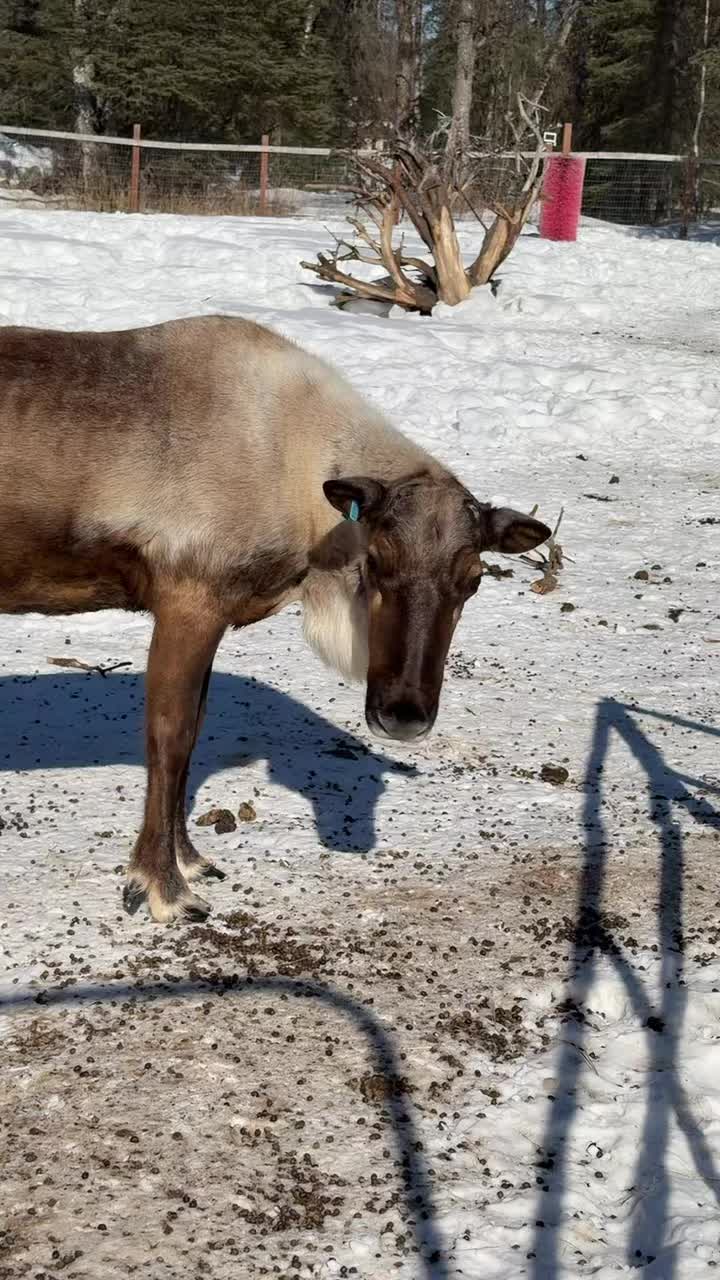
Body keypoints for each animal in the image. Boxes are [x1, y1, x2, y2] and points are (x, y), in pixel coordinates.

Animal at [0, 315, 549, 923]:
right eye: (376, 560)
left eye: (473, 580)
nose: (404, 716)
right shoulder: (189, 599)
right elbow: (170, 740)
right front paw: (163, 888)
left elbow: (193, 737)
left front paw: (189, 860)